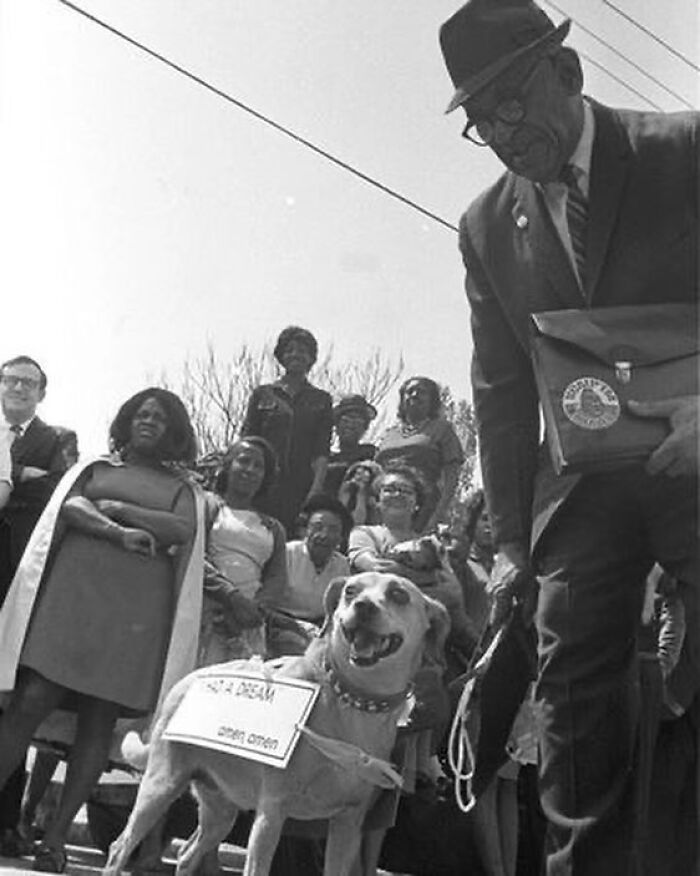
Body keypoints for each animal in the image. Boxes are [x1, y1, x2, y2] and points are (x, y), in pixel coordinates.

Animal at [104, 572, 448, 876]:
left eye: (399, 594)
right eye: (351, 590)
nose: (363, 605)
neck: (351, 701)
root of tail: (186, 680)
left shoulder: (348, 824)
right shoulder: (272, 812)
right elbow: (259, 867)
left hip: (220, 808)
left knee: (188, 854)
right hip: (160, 786)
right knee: (120, 847)